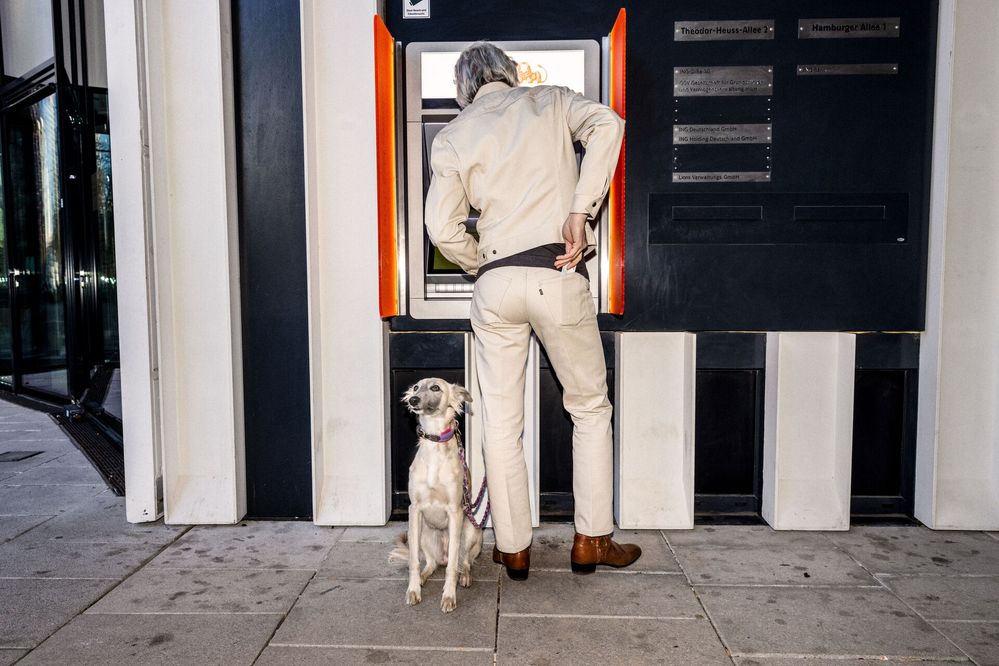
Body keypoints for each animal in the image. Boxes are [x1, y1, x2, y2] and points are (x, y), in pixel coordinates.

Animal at [388, 376, 486, 608]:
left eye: (435, 388)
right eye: (415, 387)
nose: (413, 399)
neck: (434, 446)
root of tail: (441, 555)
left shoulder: (455, 512)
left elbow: (452, 568)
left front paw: (449, 596)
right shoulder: (414, 510)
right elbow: (414, 562)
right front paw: (413, 590)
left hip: (471, 530)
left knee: (462, 561)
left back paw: (464, 576)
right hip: (421, 532)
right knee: (430, 564)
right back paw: (423, 578)